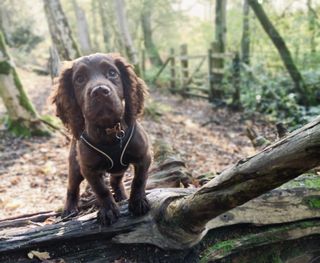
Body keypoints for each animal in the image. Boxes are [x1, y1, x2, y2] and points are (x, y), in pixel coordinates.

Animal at [52, 53, 151, 225]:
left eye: (112, 73)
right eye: (79, 79)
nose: (99, 91)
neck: (109, 131)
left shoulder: (144, 156)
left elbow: (139, 180)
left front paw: (138, 202)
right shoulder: (88, 169)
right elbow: (101, 190)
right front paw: (108, 211)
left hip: (119, 168)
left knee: (114, 181)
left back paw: (121, 196)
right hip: (75, 167)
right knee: (72, 188)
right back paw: (69, 210)